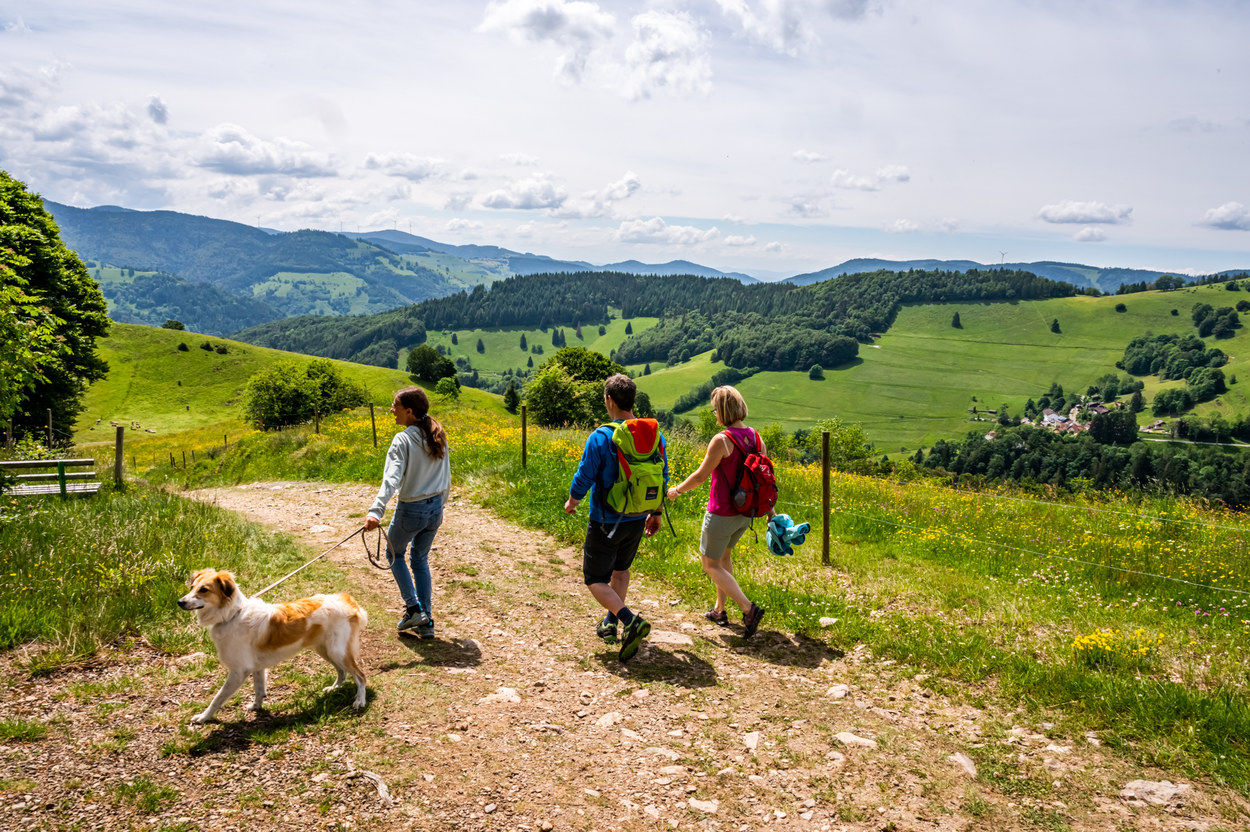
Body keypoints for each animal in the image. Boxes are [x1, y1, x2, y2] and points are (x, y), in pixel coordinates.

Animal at [178, 568, 368, 724]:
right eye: (192, 587)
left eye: (203, 590)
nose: (180, 602)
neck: (232, 615)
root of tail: (347, 600)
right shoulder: (256, 667)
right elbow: (259, 689)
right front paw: (256, 706)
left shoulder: (239, 672)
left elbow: (217, 698)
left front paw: (204, 717)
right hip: (326, 650)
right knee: (342, 671)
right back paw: (334, 688)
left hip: (337, 651)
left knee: (360, 676)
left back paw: (360, 700)